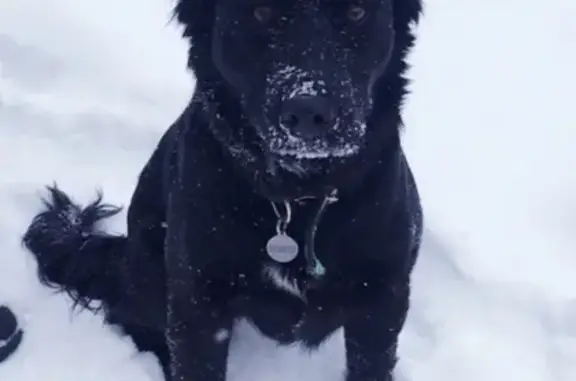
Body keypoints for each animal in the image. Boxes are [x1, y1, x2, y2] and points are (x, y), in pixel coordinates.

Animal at [22, 0, 424, 380]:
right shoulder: (198, 303)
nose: (309, 113)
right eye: (261, 12)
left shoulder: (383, 298)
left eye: (356, 12)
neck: (297, 196)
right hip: (153, 271)